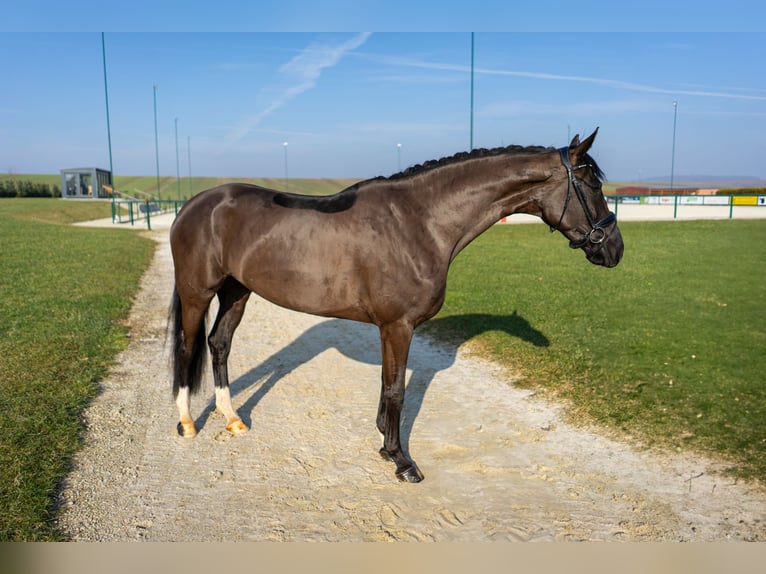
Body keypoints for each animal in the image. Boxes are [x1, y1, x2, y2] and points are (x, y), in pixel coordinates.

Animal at [168, 128, 624, 484]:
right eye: (593, 186)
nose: (615, 250)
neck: (419, 221)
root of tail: (193, 205)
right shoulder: (398, 325)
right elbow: (396, 391)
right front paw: (402, 461)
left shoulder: (392, 329)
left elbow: (389, 386)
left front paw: (386, 447)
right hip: (197, 293)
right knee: (188, 348)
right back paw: (187, 424)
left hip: (236, 292)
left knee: (219, 344)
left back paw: (233, 419)